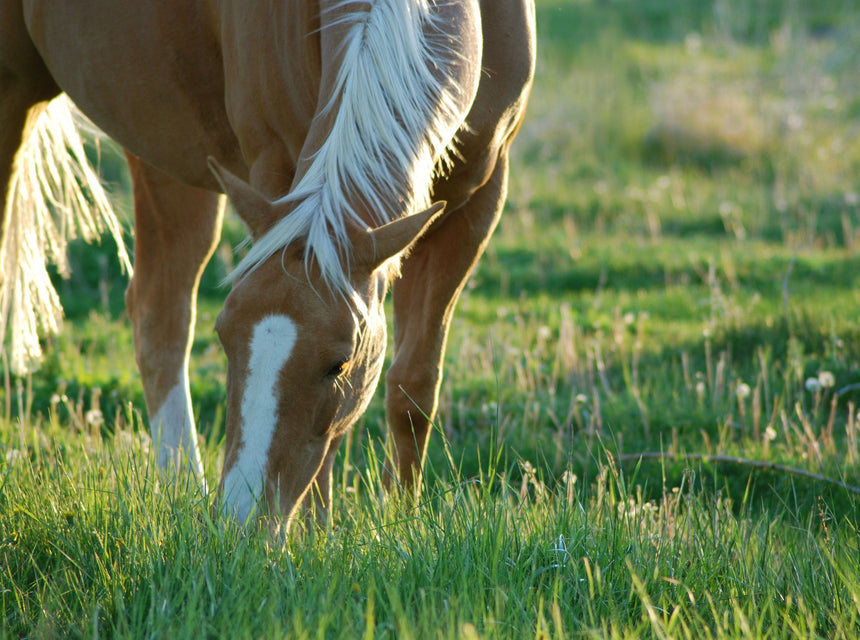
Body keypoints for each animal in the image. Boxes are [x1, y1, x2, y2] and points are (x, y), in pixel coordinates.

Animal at [0, 0, 535, 527]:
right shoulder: (277, 166)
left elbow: (413, 385)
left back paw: (184, 491)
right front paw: (318, 537)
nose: (240, 518)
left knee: (159, 312)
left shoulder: (478, 202)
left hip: (163, 144)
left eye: (339, 364)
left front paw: (402, 521)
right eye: (224, 338)